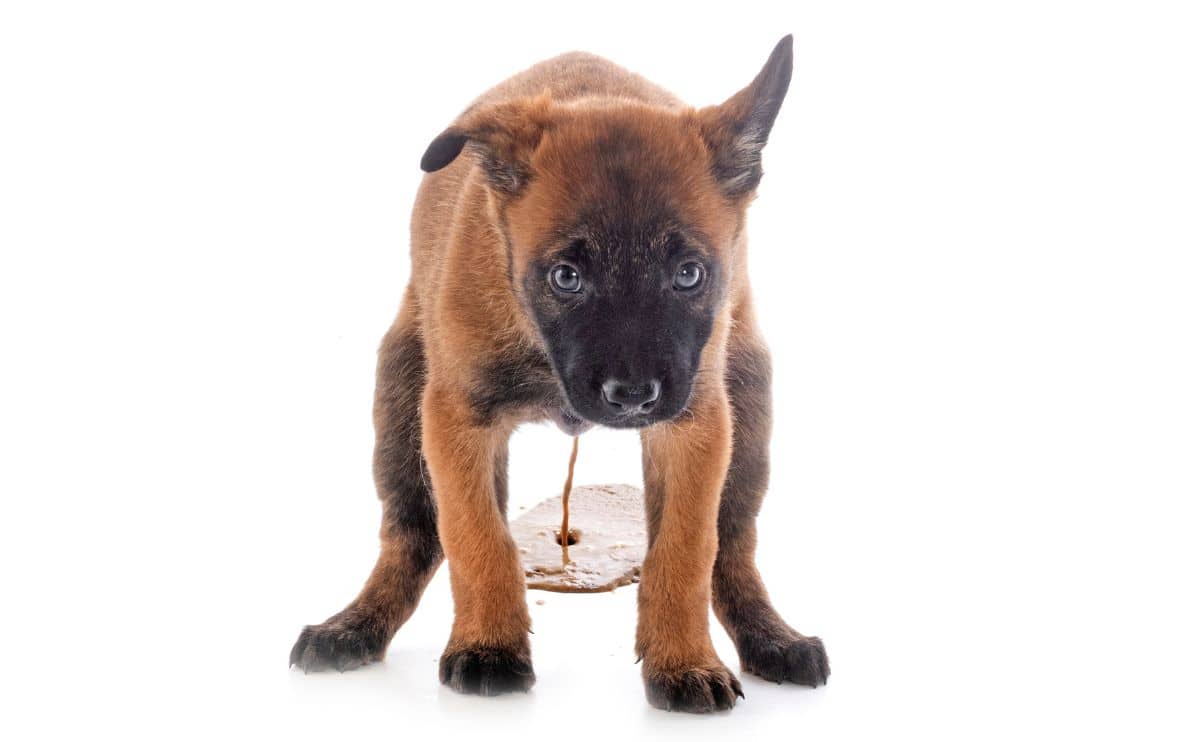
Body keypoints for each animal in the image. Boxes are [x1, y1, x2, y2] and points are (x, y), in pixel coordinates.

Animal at [295, 34, 830, 710]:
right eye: (566, 277)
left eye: (689, 274)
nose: (632, 397)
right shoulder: (456, 418)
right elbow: (477, 537)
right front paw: (490, 647)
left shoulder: (695, 425)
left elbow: (685, 550)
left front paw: (682, 662)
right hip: (398, 400)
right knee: (414, 533)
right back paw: (356, 625)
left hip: (749, 403)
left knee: (732, 545)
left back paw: (770, 637)